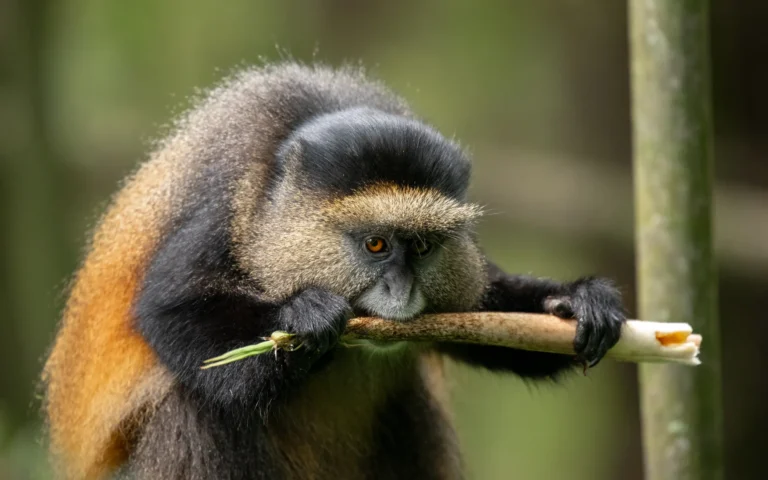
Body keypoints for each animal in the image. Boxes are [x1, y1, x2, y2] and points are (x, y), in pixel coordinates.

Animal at [41, 62, 625, 480]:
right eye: (376, 245)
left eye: (422, 247)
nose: (401, 290)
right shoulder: (221, 203)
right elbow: (171, 310)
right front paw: (307, 316)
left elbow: (489, 315)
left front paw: (578, 300)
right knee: (197, 405)